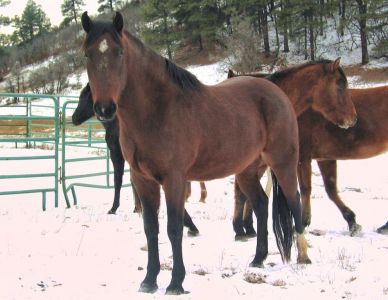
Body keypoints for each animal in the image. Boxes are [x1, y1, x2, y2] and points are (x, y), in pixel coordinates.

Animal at [72, 83, 200, 236]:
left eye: (84, 96)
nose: (74, 118)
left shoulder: (116, 154)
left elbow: (118, 180)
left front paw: (113, 208)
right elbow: (132, 182)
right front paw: (137, 208)